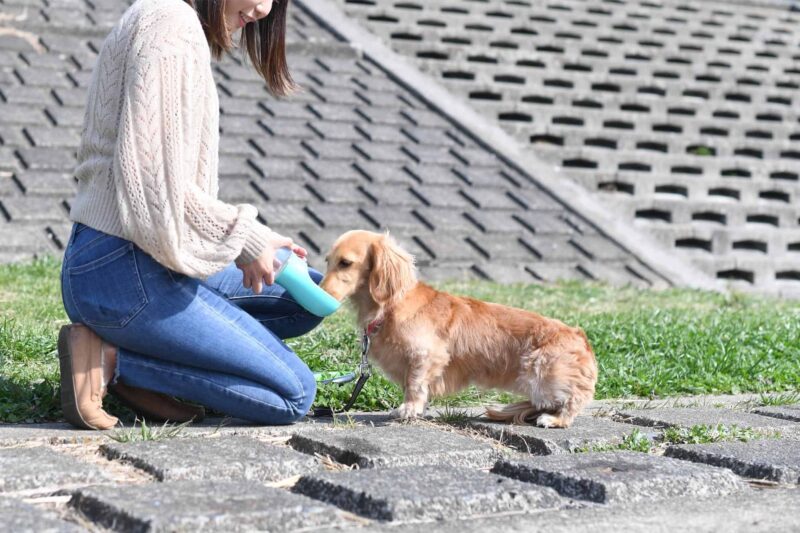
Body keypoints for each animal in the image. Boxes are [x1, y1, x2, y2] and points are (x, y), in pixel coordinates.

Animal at [322, 230, 596, 428]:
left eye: (345, 263)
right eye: (328, 261)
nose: (320, 290)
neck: (392, 305)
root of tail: (581, 339)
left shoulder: (426, 356)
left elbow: (414, 384)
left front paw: (409, 409)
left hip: (542, 376)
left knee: (572, 402)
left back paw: (554, 419)